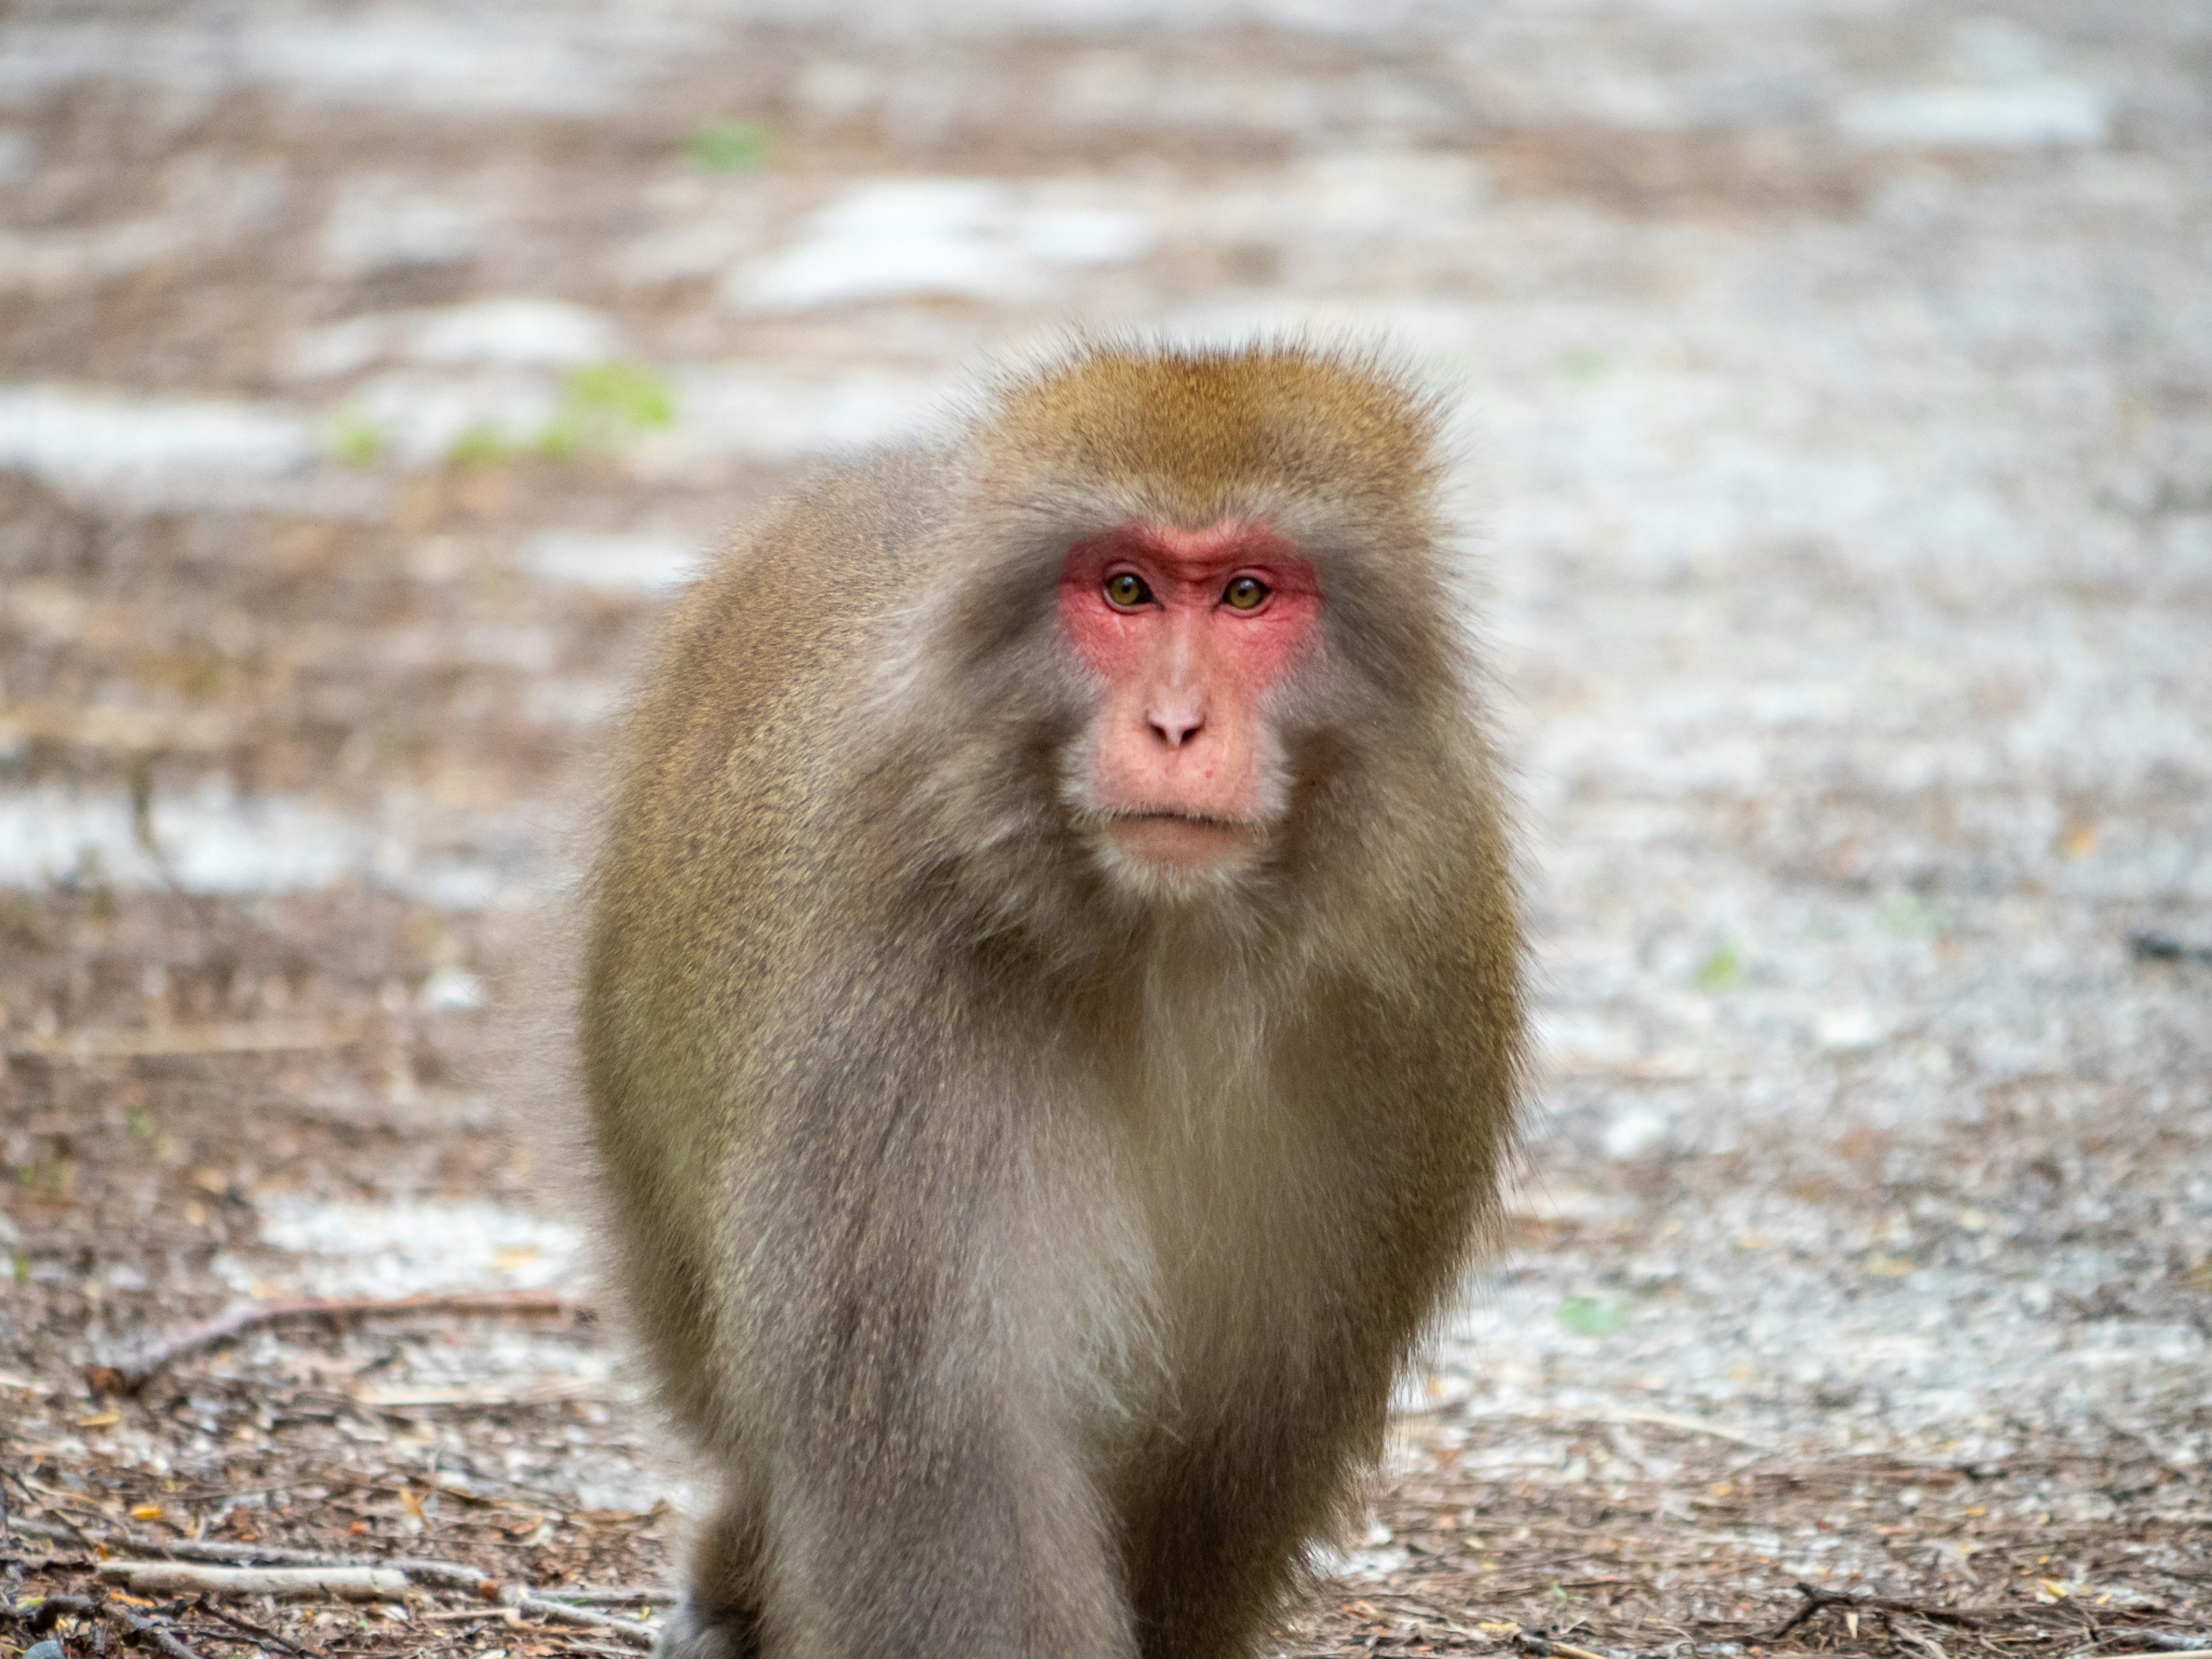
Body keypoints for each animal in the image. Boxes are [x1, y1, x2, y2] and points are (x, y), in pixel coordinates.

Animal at [579, 340, 1531, 1659]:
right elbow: (951, 1437)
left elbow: (1249, 1421)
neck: (1168, 953)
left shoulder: (1411, 989)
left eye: (1247, 595)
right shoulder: (905, 985)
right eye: (1126, 590)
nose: (1175, 723)